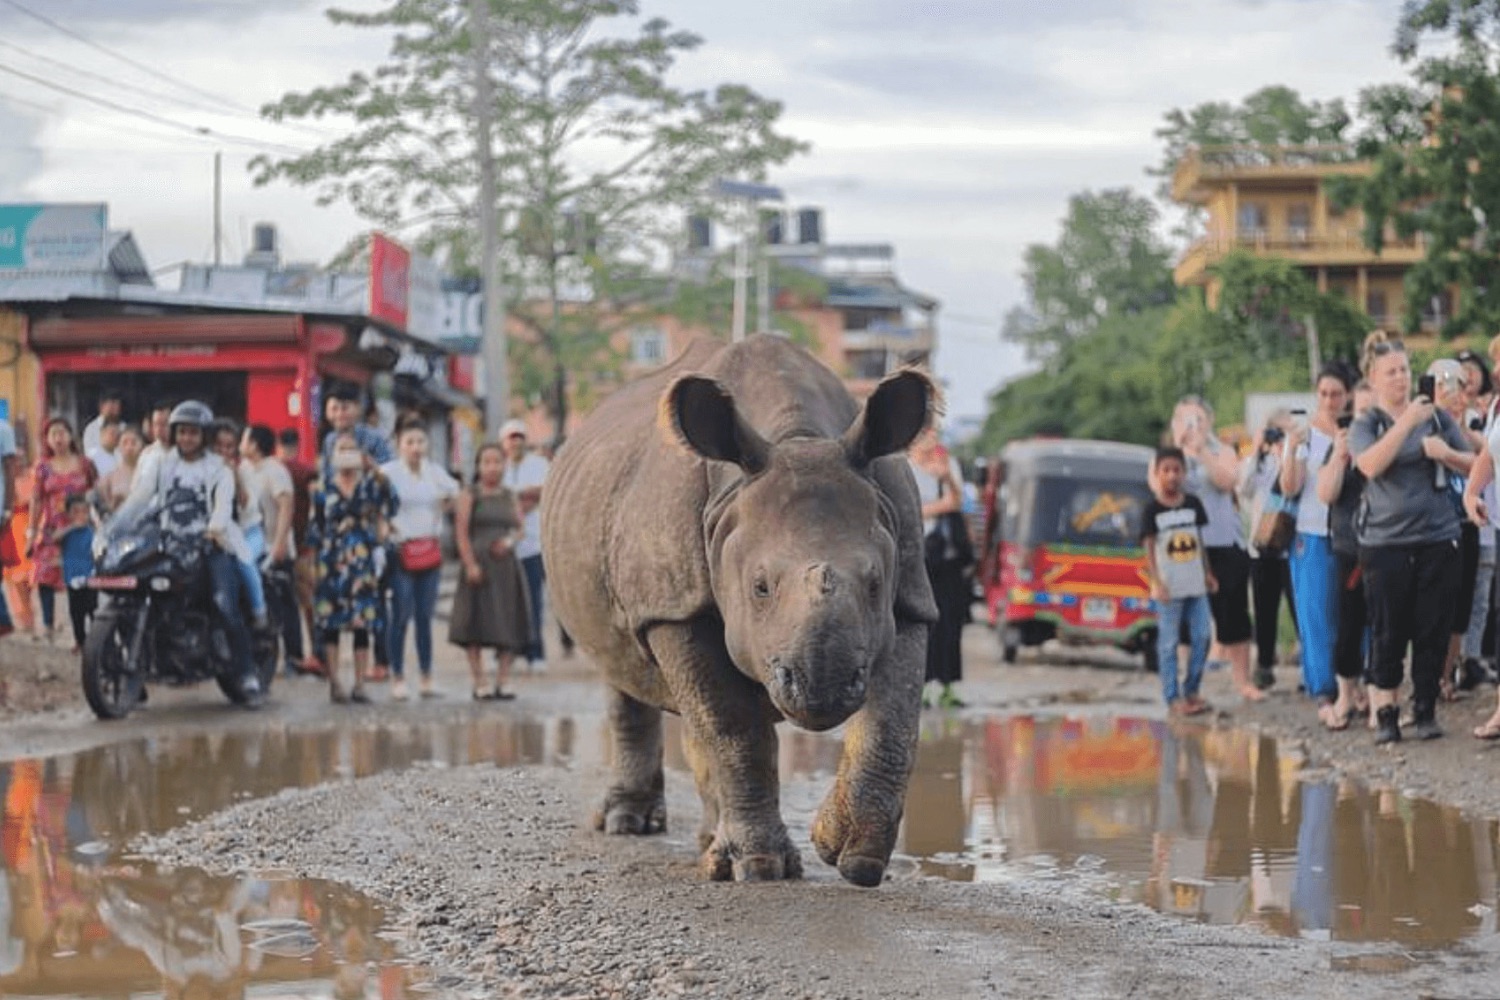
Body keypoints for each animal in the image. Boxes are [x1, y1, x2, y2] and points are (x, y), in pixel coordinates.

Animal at [541, 334, 938, 887]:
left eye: (876, 583)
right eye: (760, 587)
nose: (822, 689)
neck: (798, 435)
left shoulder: (910, 592)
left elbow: (893, 723)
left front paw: (849, 854)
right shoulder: (673, 607)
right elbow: (732, 728)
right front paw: (760, 867)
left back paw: (710, 842)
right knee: (627, 676)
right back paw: (629, 825)